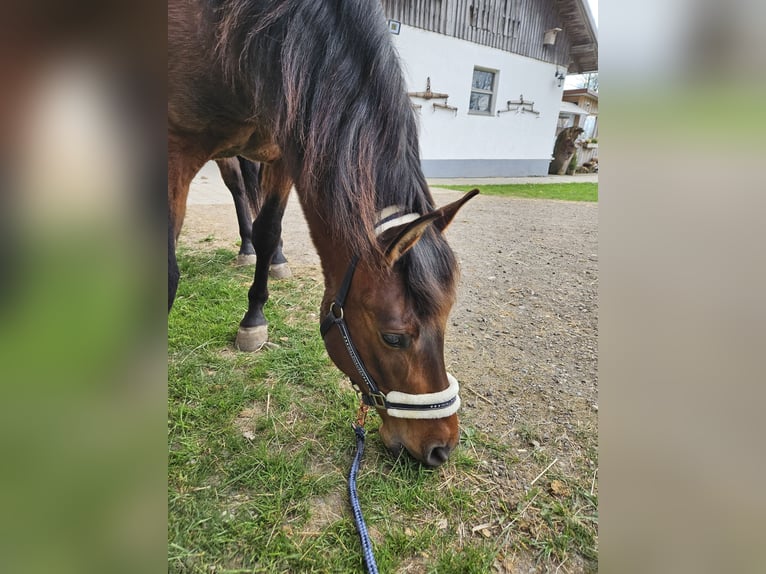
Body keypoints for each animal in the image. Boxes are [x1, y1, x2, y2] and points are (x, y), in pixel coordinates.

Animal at [168, 0, 478, 466]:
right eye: (393, 337)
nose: (442, 447)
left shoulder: (287, 144)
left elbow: (269, 226)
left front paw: (256, 310)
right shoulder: (176, 146)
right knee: (239, 189)